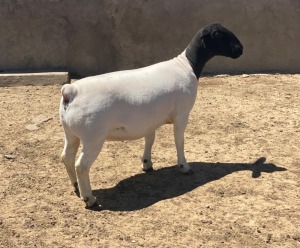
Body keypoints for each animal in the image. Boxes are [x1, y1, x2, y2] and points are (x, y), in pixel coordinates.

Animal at [59, 23, 243, 209]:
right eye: (217, 33)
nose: (240, 49)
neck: (186, 65)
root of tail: (71, 91)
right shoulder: (182, 114)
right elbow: (179, 141)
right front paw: (184, 167)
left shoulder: (150, 121)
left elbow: (150, 140)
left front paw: (147, 164)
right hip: (93, 136)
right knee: (81, 165)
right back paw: (89, 199)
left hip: (71, 132)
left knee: (66, 157)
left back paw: (76, 187)